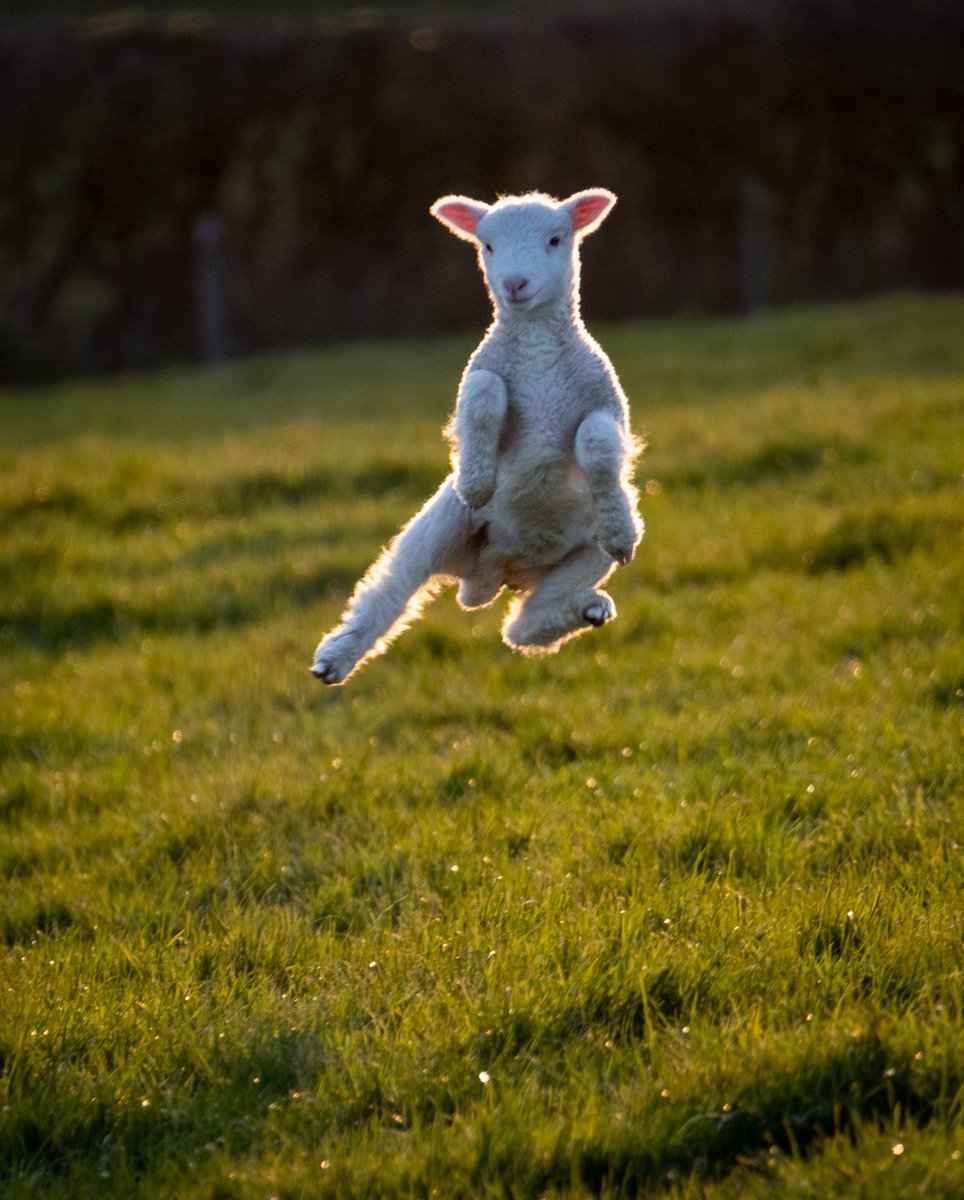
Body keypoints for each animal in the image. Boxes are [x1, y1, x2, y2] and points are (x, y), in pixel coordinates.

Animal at [311, 188, 644, 685]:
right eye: (487, 246)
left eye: (555, 239)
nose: (515, 284)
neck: (535, 345)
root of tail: (495, 574)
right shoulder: (482, 370)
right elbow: (483, 396)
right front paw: (477, 482)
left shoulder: (604, 400)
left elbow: (597, 442)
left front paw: (619, 523)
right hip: (440, 526)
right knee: (390, 589)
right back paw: (335, 659)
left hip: (587, 554)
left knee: (523, 626)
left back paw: (586, 608)